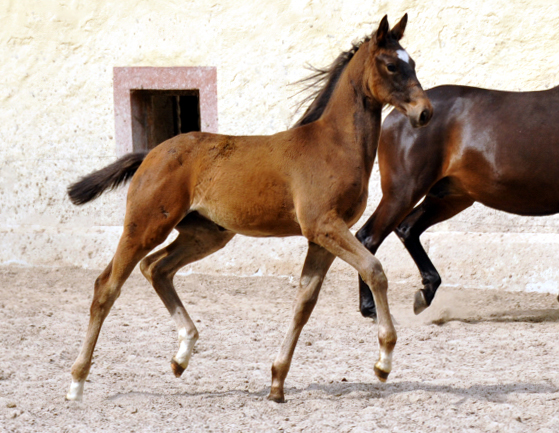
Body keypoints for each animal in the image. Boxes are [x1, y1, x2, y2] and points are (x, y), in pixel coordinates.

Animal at [65, 15, 434, 404]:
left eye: (413, 63)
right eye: (391, 65)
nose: (425, 112)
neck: (334, 144)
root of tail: (150, 153)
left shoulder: (321, 237)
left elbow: (305, 301)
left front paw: (277, 381)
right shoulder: (324, 226)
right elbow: (374, 269)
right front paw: (384, 360)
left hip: (207, 234)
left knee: (156, 268)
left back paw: (182, 354)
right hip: (145, 225)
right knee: (106, 286)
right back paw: (76, 382)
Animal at [356, 84, 559, 318]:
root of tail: (397, 115)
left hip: (448, 198)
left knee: (407, 229)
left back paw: (425, 293)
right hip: (403, 192)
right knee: (369, 237)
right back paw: (371, 309)